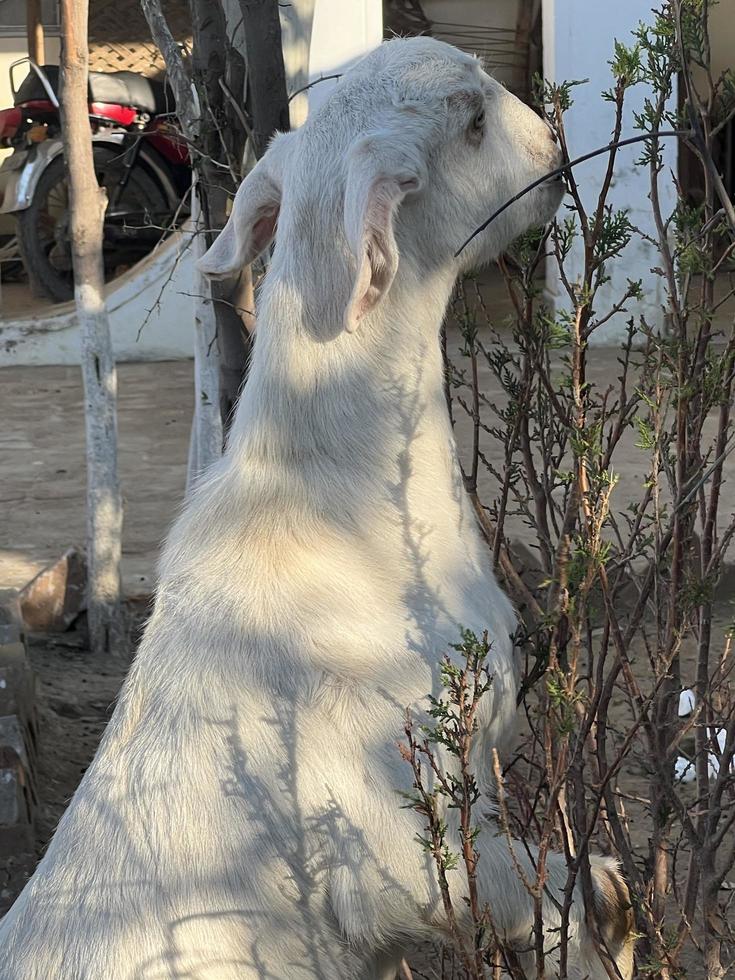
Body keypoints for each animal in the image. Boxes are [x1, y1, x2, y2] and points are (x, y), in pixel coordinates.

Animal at [0, 38, 632, 980]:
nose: (555, 148)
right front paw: (611, 917)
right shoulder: (396, 841)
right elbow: (532, 885)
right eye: (471, 121)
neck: (331, 510)